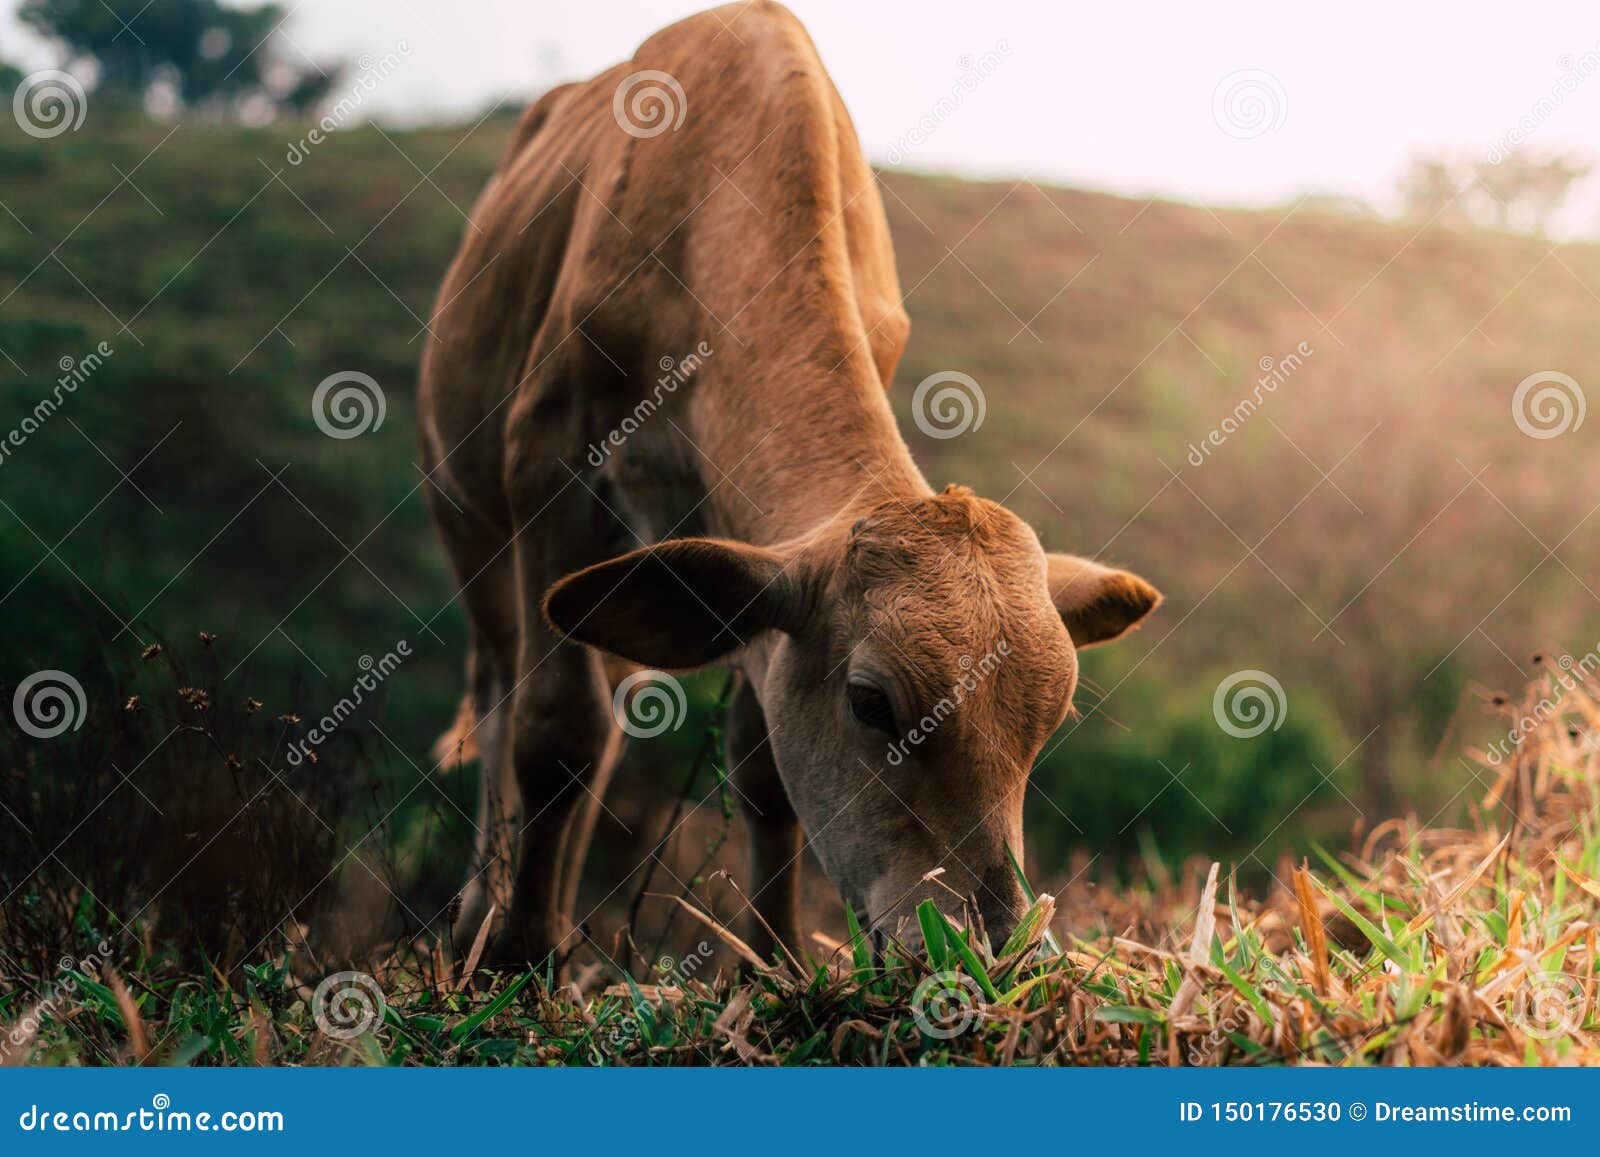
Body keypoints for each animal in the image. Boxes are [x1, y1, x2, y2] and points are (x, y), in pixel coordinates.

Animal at [419, 2, 1158, 966]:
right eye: (872, 703)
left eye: (1051, 717)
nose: (991, 946)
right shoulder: (549, 455)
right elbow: (555, 730)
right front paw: (523, 957)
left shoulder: (755, 572)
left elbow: (762, 767)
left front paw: (773, 964)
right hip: (465, 513)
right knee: (506, 695)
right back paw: (485, 915)